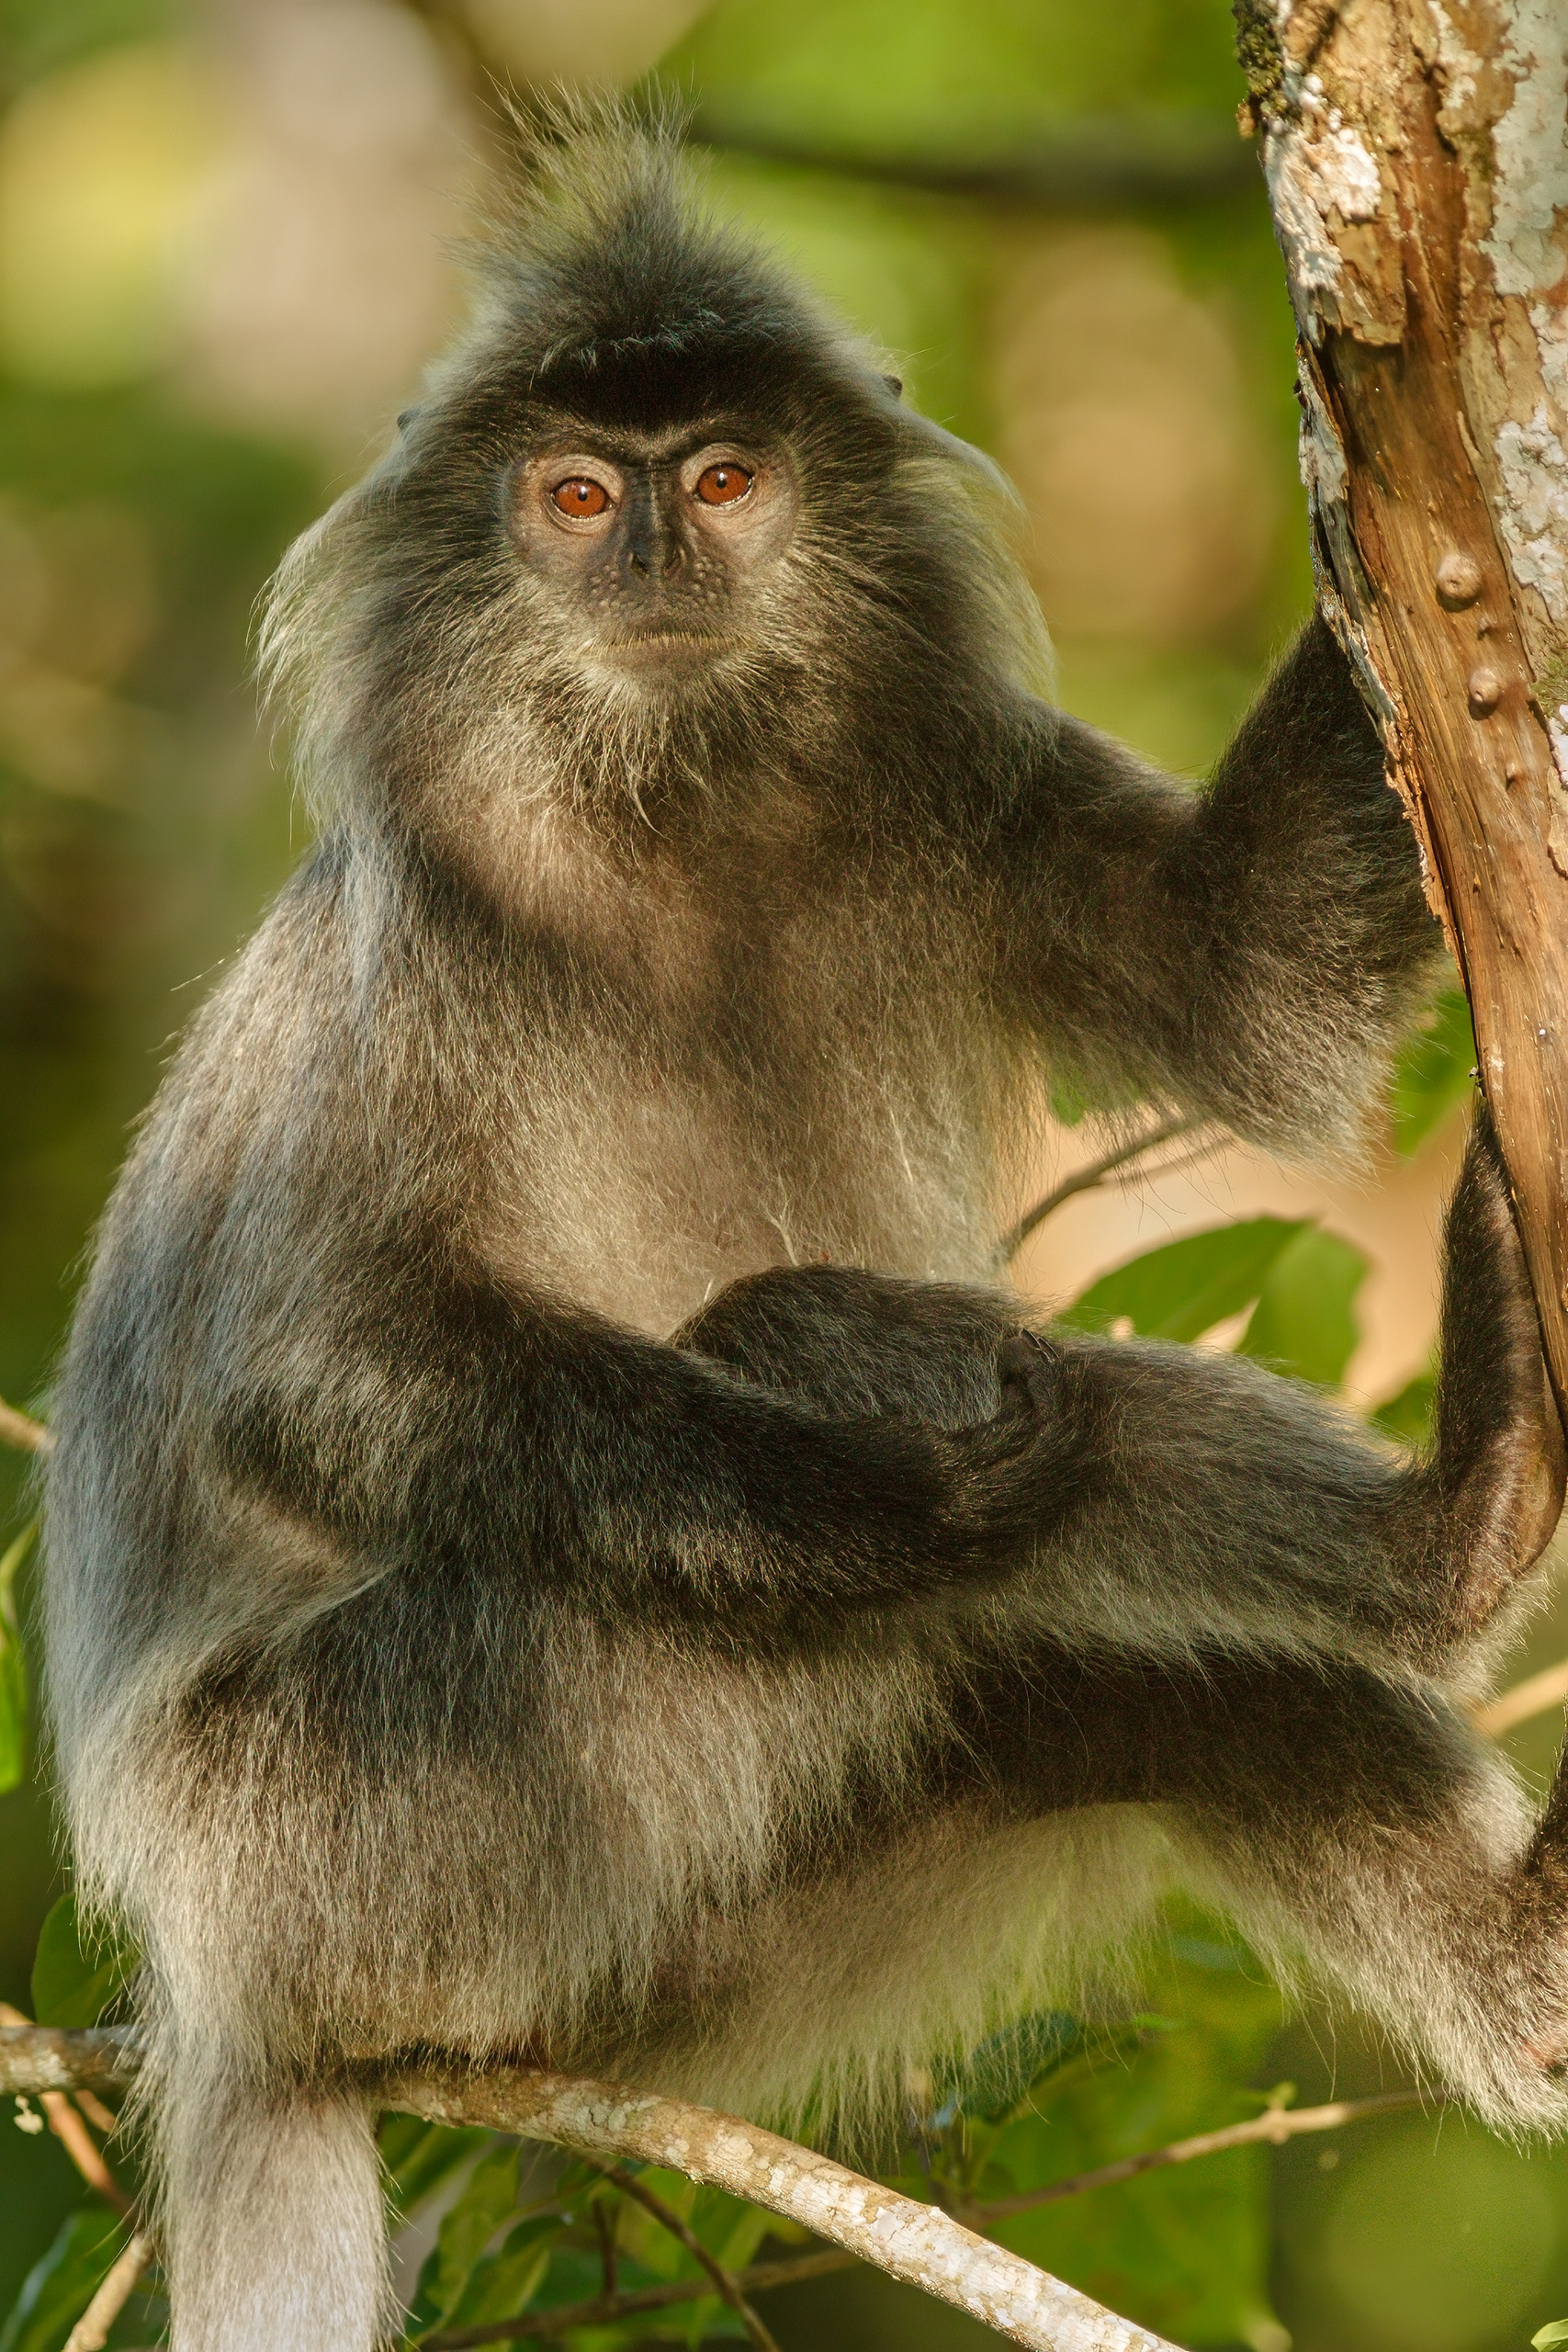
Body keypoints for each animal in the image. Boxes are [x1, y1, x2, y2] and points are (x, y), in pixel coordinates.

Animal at [38, 116, 1568, 2352]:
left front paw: (1395, 520)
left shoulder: (933, 795)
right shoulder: (427, 931)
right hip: (363, 1830)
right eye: (575, 496)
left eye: (724, 479)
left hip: (699, 1948)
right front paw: (883, 1509)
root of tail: (228, 2008)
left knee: (1177, 1694)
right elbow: (307, 1365)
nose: (652, 564)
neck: (670, 808)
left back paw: (1474, 1644)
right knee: (844, 1393)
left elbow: (1246, 980)